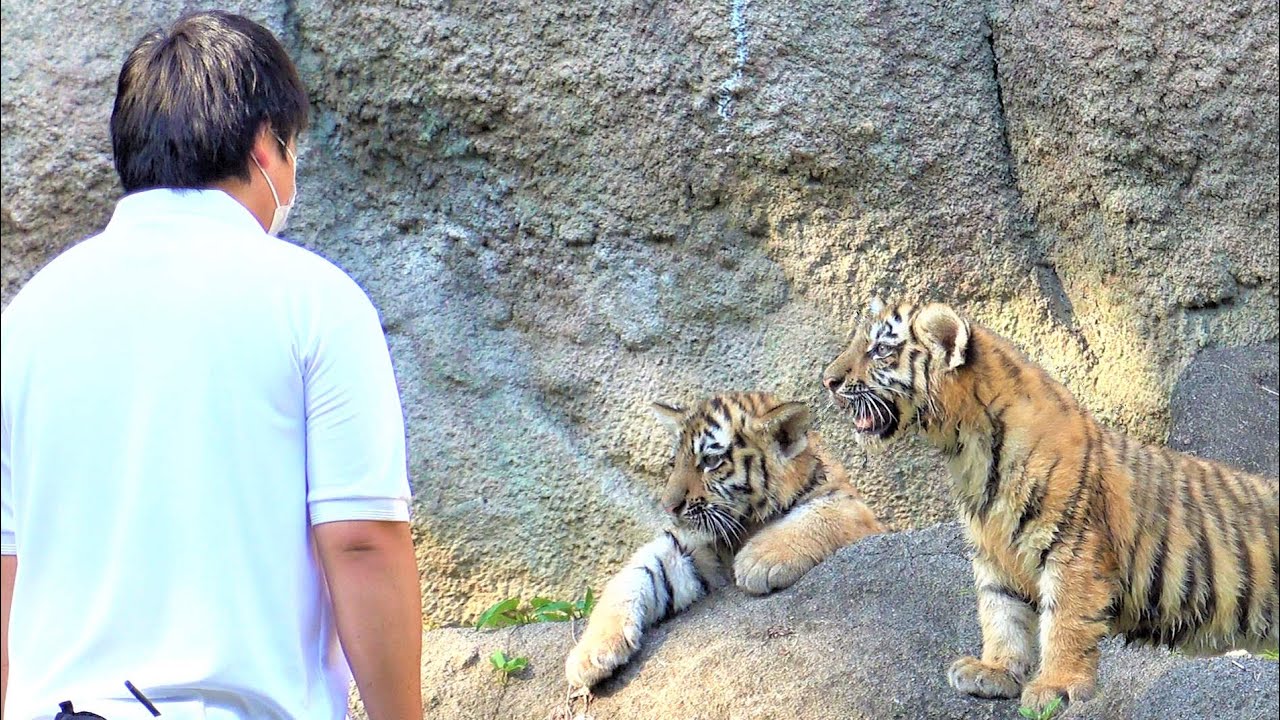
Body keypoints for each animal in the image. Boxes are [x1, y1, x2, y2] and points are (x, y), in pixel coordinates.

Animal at [564, 391, 884, 691]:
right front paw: (589, 654)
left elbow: (819, 516)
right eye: (675, 462)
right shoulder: (688, 548)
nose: (668, 506)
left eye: (711, 461)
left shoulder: (857, 511)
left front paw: (757, 561)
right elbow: (632, 576)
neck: (746, 523)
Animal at [821, 299, 1279, 713]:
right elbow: (1000, 613)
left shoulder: (1072, 548)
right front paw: (995, 671)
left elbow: (1064, 622)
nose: (828, 381)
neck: (967, 450)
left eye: (880, 349)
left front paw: (1056, 686)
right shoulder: (993, 554)